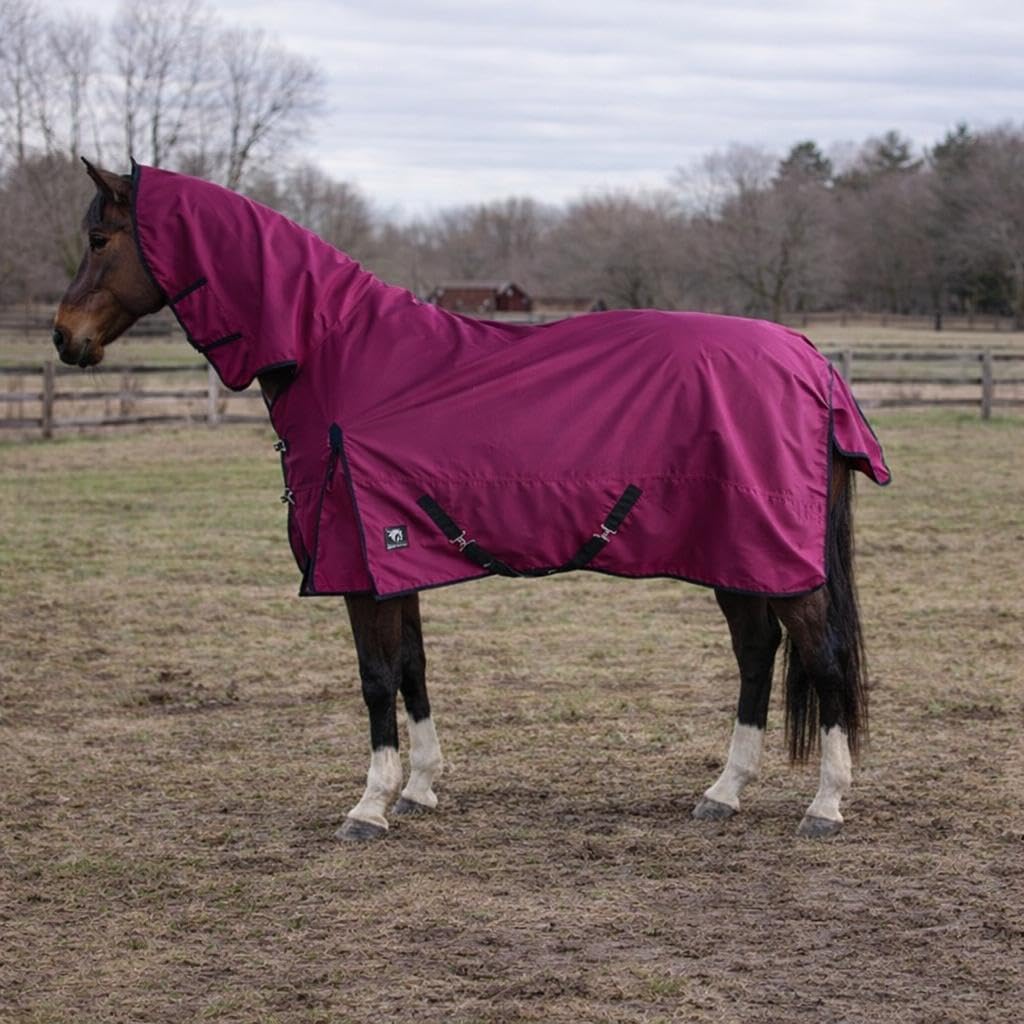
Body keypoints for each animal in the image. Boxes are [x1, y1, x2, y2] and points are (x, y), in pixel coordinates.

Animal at [52, 159, 890, 841]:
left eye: (99, 238)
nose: (64, 339)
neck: (337, 352)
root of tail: (810, 360)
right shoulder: (396, 558)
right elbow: (415, 668)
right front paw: (419, 788)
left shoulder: (360, 562)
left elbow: (376, 677)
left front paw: (369, 805)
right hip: (736, 553)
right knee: (757, 653)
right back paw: (723, 791)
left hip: (776, 554)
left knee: (821, 655)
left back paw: (824, 805)